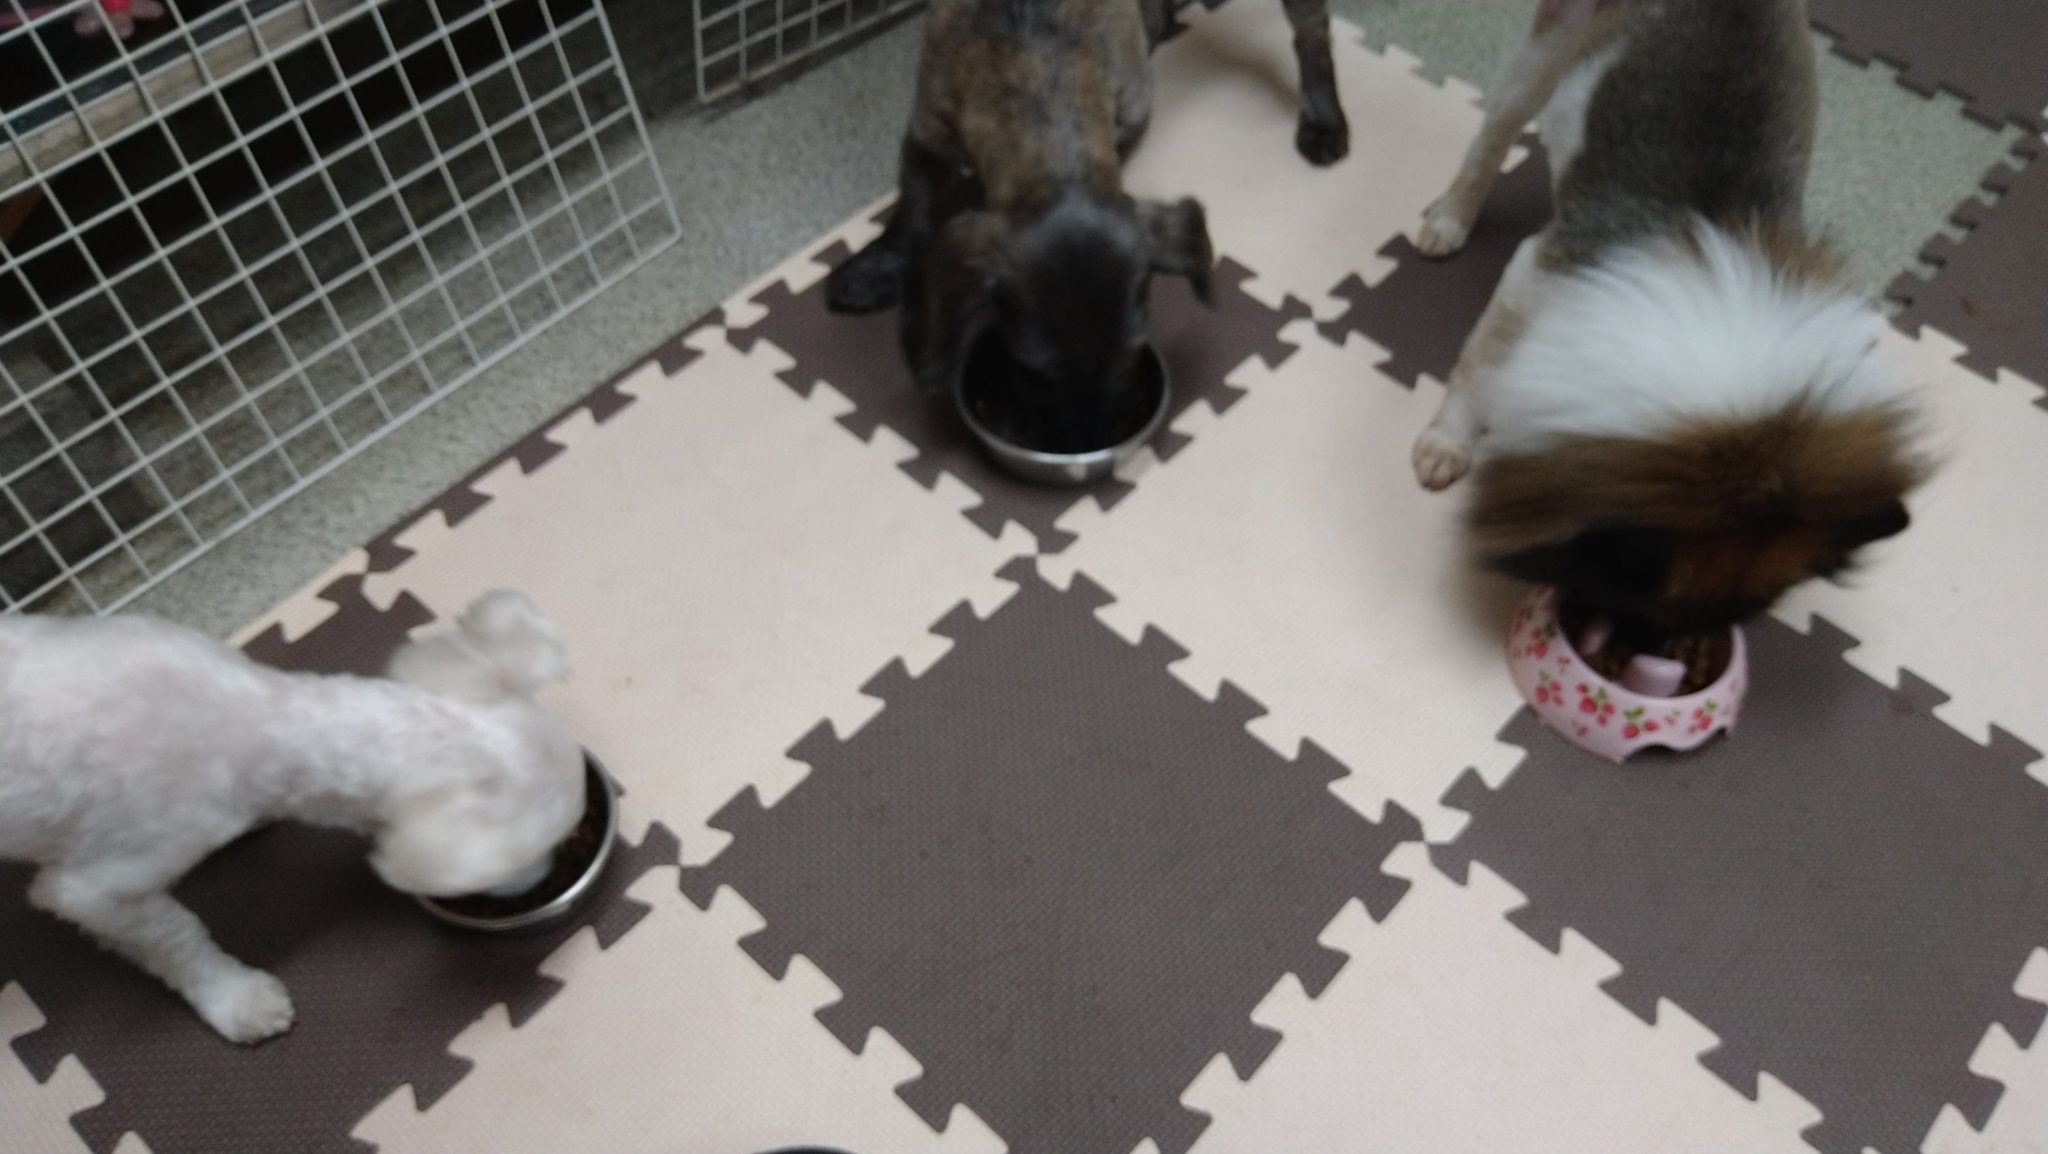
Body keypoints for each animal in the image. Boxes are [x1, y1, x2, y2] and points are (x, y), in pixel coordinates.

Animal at [0, 591, 586, 1044]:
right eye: (538, 851)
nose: (541, 879)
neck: (255, 721)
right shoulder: (102, 884)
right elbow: (173, 936)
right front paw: (237, 1001)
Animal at [822, 0, 1221, 444]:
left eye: (1131, 355)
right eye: (1036, 373)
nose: (1087, 444)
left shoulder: (1131, 117)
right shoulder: (926, 135)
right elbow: (913, 215)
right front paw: (877, 269)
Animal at [1407, 0, 1929, 634]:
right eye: (1632, 592)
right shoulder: (1537, 271)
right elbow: (1478, 366)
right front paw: (1447, 444)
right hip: (1543, 53)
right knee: (1493, 134)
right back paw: (1450, 219)